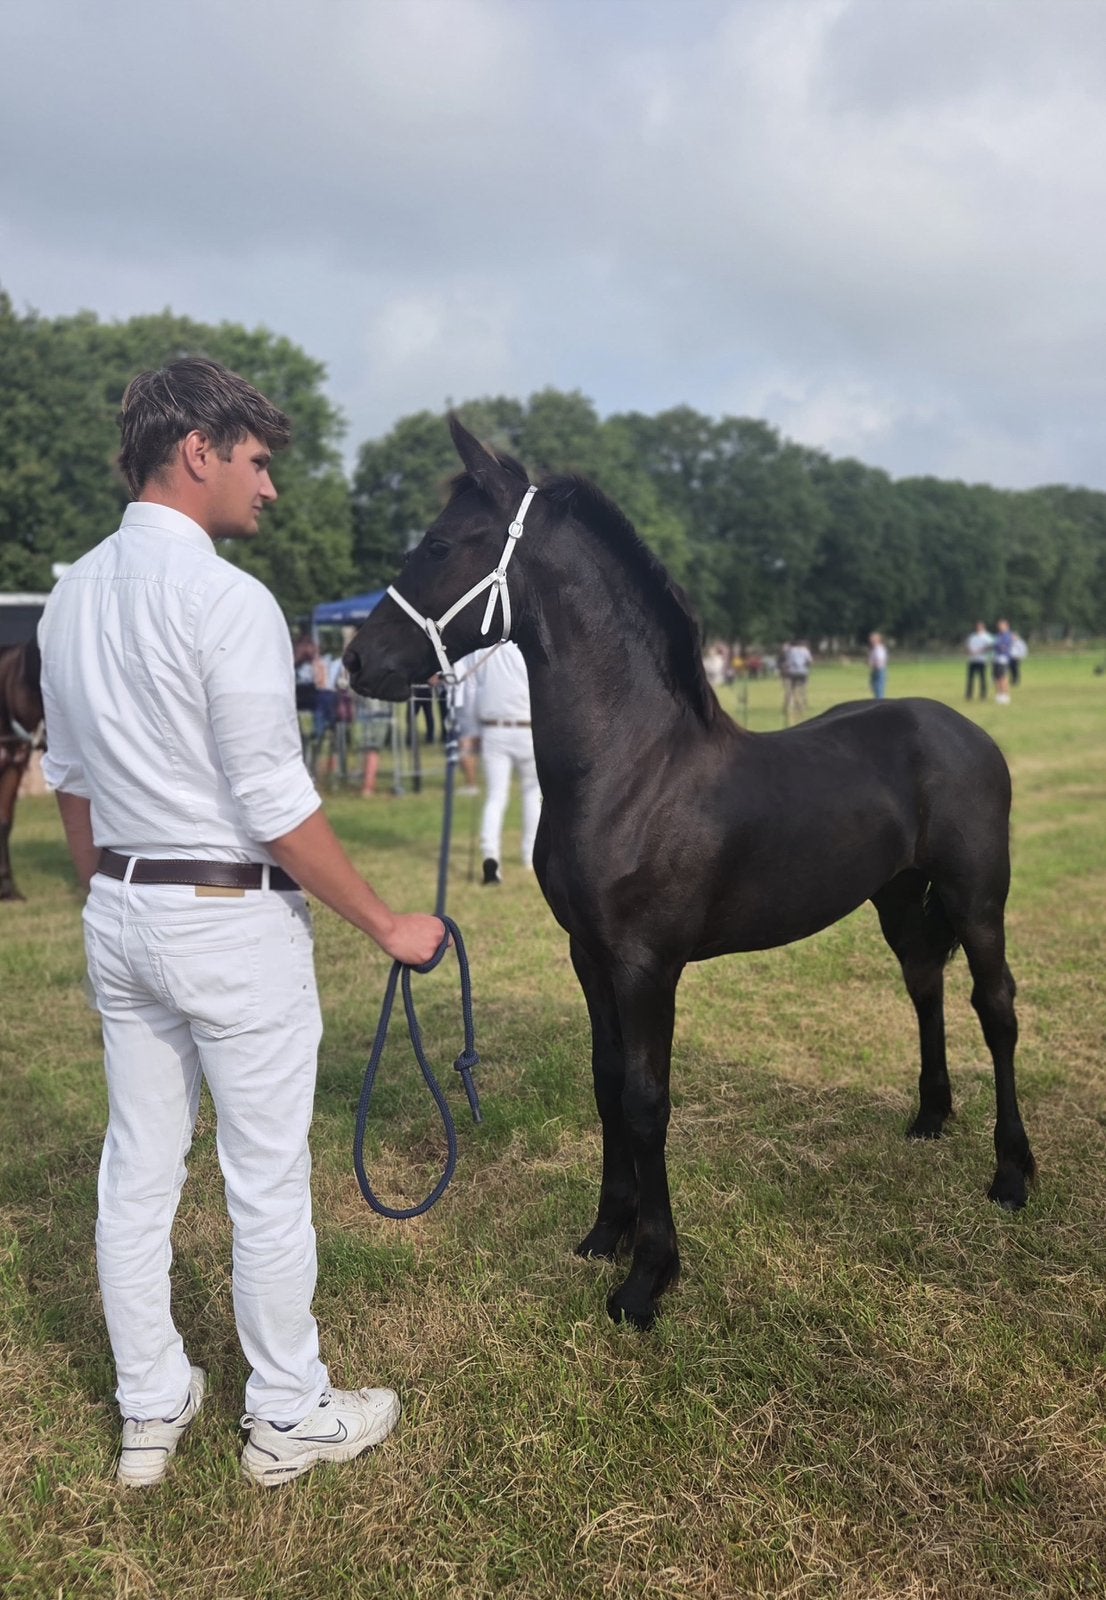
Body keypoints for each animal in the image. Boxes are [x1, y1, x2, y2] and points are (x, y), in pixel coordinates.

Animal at [343, 418, 1036, 1330]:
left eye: (438, 544)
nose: (355, 662)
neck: (631, 767)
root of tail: (963, 730)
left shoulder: (647, 966)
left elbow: (647, 1101)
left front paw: (648, 1278)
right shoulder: (590, 957)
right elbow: (607, 1085)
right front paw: (606, 1232)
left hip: (977, 897)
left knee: (996, 1009)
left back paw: (1013, 1173)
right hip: (897, 899)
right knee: (925, 984)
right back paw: (929, 1116)